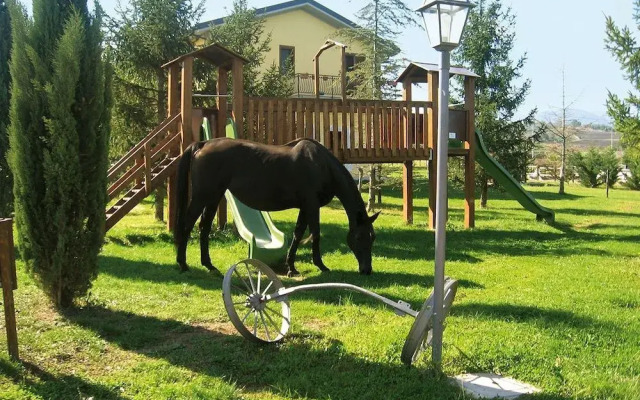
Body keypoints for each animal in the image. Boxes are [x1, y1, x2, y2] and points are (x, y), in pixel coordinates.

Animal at [173, 137, 379, 276]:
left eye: (372, 237)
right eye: (359, 237)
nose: (367, 270)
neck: (321, 165)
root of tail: (203, 144)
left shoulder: (305, 207)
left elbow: (298, 234)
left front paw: (291, 268)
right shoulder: (312, 205)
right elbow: (315, 234)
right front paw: (320, 265)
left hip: (213, 197)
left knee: (204, 227)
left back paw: (209, 265)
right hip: (203, 196)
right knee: (187, 225)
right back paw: (183, 264)